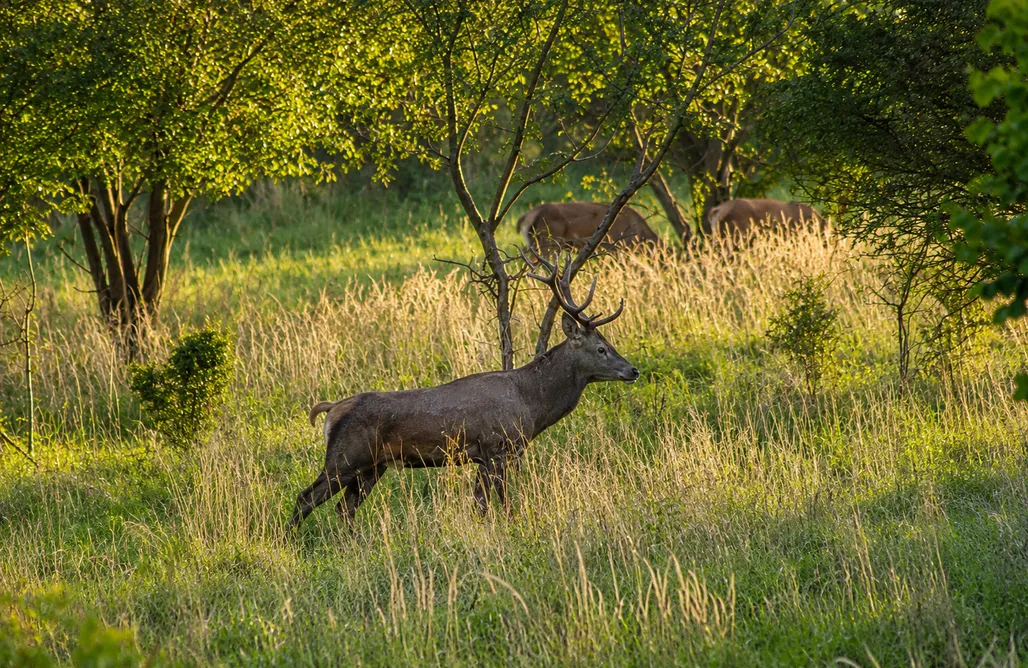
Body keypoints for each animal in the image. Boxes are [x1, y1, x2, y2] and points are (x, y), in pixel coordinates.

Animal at [290, 253, 640, 528]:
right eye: (601, 348)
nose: (633, 370)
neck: (532, 404)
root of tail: (331, 410)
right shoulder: (497, 446)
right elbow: (502, 504)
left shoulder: (483, 456)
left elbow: (481, 506)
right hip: (345, 457)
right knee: (306, 498)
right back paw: (289, 543)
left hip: (373, 466)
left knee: (344, 507)